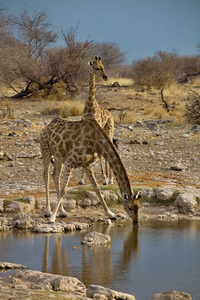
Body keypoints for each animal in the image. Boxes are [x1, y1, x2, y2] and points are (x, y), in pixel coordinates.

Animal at [79, 56, 115, 185]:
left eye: (103, 66)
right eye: (96, 68)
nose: (105, 77)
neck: (90, 105)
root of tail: (111, 115)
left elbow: (99, 153)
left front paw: (104, 179)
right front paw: (81, 179)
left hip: (109, 131)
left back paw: (110, 179)